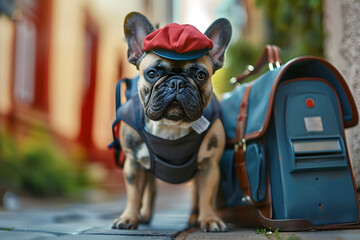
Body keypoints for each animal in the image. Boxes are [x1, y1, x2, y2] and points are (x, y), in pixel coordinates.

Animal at [111, 12, 232, 232]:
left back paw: (194, 218)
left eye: (201, 75)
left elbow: (206, 196)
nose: (177, 82)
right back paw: (144, 215)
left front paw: (209, 219)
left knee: (195, 194)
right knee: (150, 189)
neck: (171, 125)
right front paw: (128, 217)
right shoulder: (133, 163)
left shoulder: (210, 165)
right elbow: (133, 194)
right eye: (152, 73)